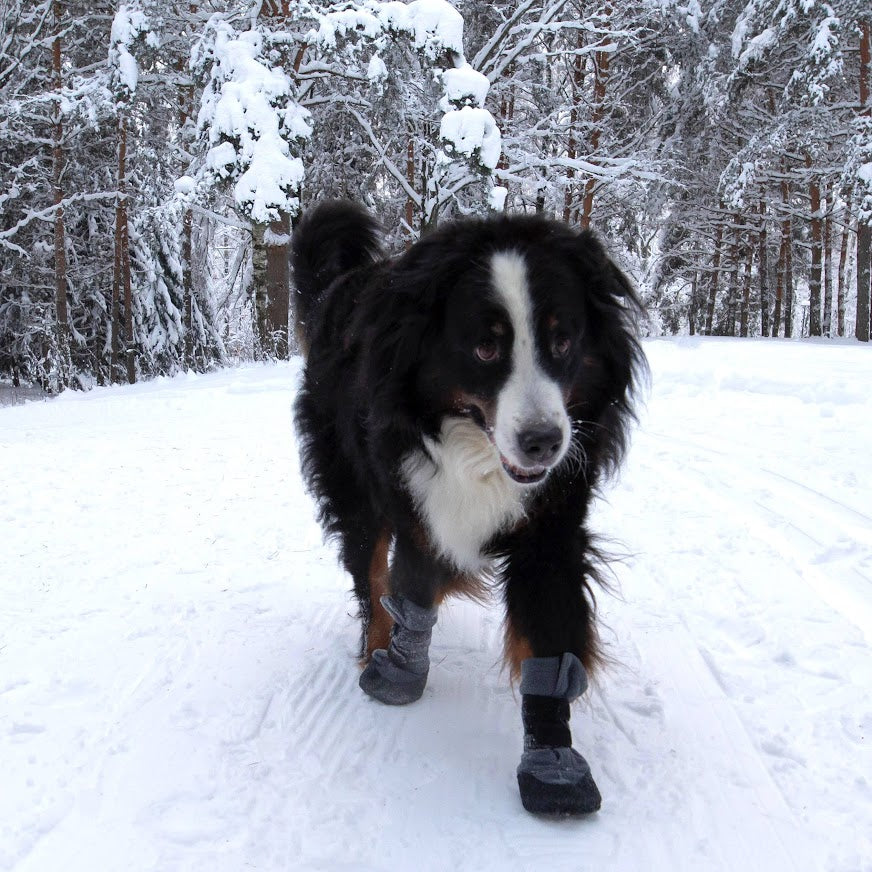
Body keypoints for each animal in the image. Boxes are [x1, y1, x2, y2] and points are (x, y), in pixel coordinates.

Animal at [290, 201, 644, 816]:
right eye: (485, 347)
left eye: (562, 342)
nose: (543, 441)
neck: (475, 449)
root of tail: (337, 286)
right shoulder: (415, 499)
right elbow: (408, 586)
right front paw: (397, 672)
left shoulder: (552, 523)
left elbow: (547, 638)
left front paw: (553, 764)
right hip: (351, 482)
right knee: (369, 570)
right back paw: (376, 645)